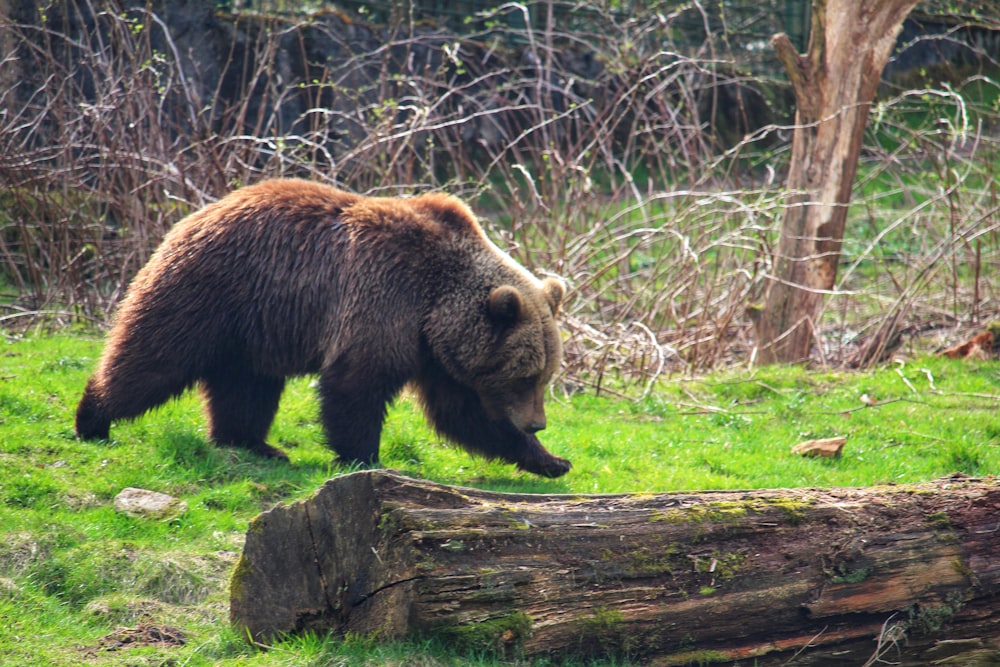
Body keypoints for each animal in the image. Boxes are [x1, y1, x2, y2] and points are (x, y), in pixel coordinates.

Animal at [74, 177, 572, 478]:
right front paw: (364, 457)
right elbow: (356, 383)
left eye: (544, 376)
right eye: (525, 375)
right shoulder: (384, 296)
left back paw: (254, 443)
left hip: (255, 325)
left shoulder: (436, 352)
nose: (538, 423)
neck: (436, 301)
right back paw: (92, 418)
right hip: (209, 291)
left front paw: (551, 460)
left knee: (246, 386)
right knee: (154, 358)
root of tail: (197, 212)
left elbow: (464, 413)